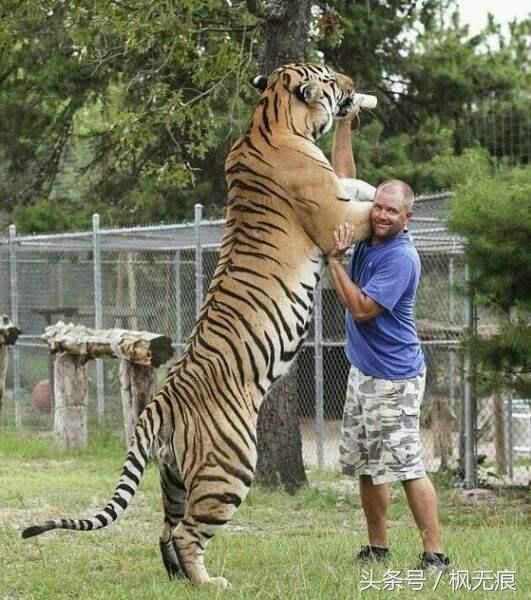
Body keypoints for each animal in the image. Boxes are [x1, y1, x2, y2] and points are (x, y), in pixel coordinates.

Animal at [22, 63, 376, 588]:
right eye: (331, 76)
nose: (353, 85)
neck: (270, 117)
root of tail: (158, 404)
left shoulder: (336, 191)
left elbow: (357, 186)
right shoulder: (333, 216)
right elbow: (366, 208)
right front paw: (398, 200)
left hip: (173, 478)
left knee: (166, 529)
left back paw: (178, 581)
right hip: (230, 469)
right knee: (188, 533)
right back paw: (210, 583)